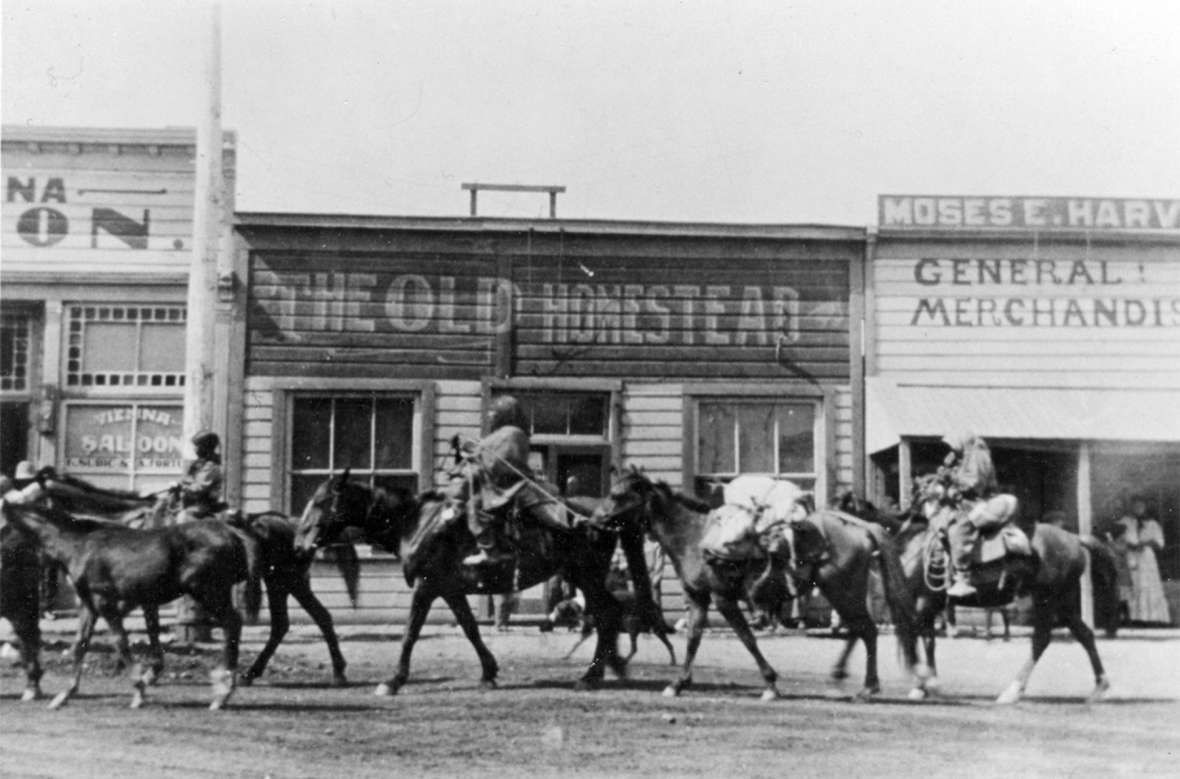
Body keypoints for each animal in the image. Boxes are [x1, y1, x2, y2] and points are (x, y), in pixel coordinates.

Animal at [292, 472, 656, 698]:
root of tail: (602, 514)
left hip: (587, 576)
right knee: (608, 615)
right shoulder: (450, 589)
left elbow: (410, 633)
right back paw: (610, 667)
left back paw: (592, 676)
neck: (418, 522)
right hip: (584, 578)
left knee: (607, 615)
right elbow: (470, 628)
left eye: (321, 503)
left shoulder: (426, 586)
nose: (299, 544)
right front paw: (488, 672)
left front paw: (393, 680)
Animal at [594, 465, 915, 703]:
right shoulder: (699, 598)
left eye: (617, 494)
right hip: (843, 593)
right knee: (860, 630)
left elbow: (747, 638)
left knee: (867, 630)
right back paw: (848, 679)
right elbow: (694, 638)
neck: (695, 537)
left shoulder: (722, 598)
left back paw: (867, 688)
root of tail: (861, 526)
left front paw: (770, 685)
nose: (596, 519)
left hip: (843, 591)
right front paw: (678, 683)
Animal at [840, 491, 1113, 703]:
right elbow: (926, 639)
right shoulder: (925, 603)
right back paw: (1099, 687)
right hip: (1063, 603)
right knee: (1084, 634)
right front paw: (926, 684)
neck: (913, 543)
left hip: (1048, 600)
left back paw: (1012, 691)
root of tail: (1075, 539)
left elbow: (909, 633)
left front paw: (922, 684)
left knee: (1041, 640)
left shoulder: (924, 602)